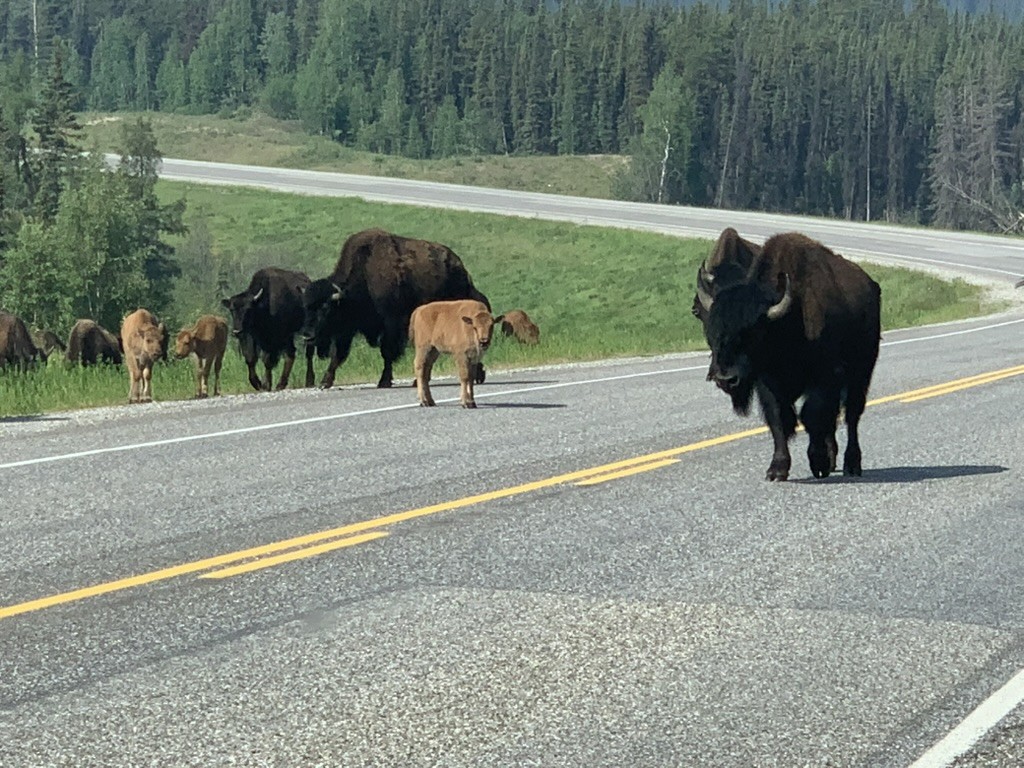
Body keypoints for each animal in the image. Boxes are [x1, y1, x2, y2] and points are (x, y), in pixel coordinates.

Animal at [300, 228, 490, 389]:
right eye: (306, 307)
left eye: (325, 308)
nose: (307, 336)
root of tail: (462, 271)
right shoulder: (347, 330)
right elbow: (338, 355)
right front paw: (325, 382)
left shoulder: (391, 325)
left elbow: (387, 353)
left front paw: (384, 381)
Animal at [693, 228, 881, 481]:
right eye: (711, 329)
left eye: (754, 331)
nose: (725, 379)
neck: (788, 319)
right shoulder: (768, 384)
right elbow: (779, 420)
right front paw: (777, 469)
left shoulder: (825, 377)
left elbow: (811, 415)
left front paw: (818, 462)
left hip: (861, 373)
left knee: (852, 415)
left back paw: (851, 465)